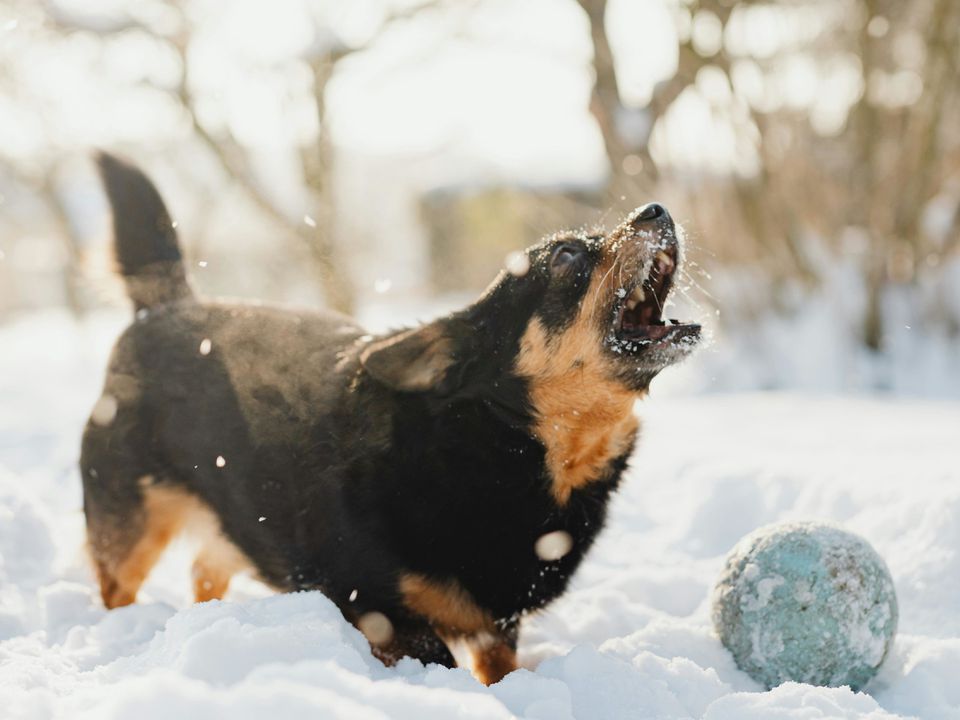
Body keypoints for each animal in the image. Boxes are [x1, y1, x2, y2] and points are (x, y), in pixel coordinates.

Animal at [80, 153, 696, 688]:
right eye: (567, 254)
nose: (657, 209)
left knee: (205, 568)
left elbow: (500, 671)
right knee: (118, 588)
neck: (494, 443)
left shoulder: (498, 628)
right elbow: (437, 656)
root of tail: (164, 305)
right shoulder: (375, 607)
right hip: (128, 529)